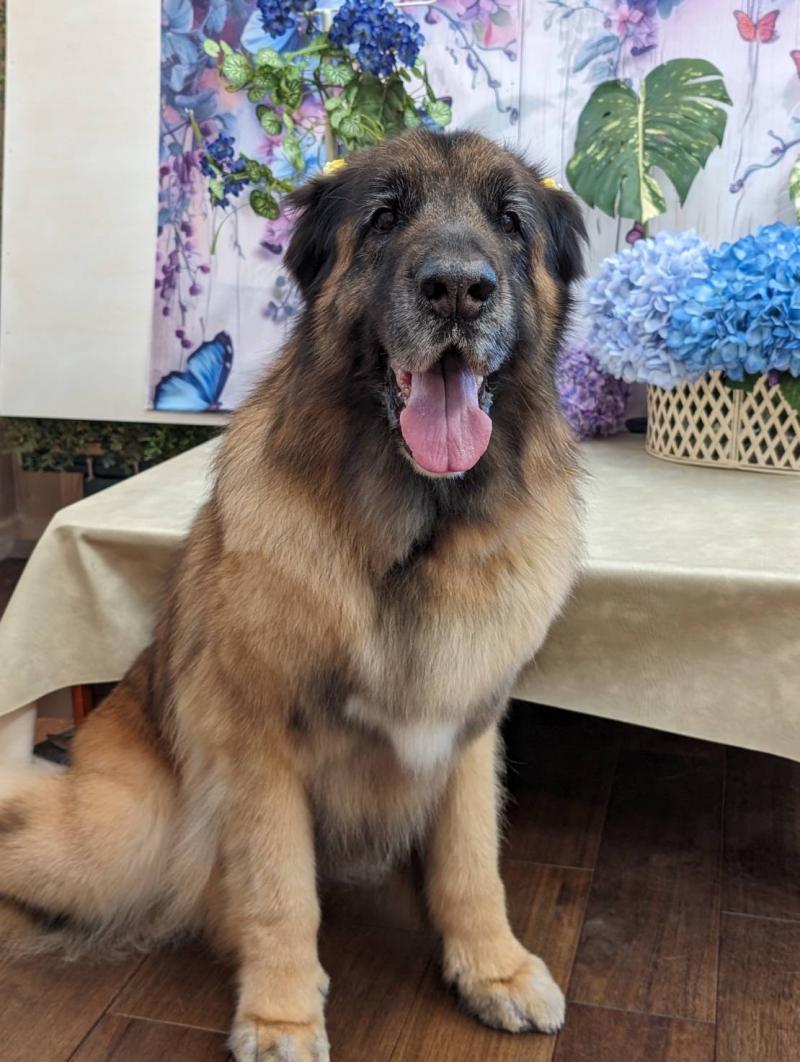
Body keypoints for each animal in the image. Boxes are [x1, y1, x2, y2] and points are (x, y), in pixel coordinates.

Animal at [0, 130, 586, 1060]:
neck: (411, 541)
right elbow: (282, 892)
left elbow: (471, 866)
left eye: (510, 221)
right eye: (383, 217)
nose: (459, 289)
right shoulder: (261, 746)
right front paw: (281, 1012)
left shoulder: (464, 732)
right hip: (111, 843)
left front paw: (491, 968)